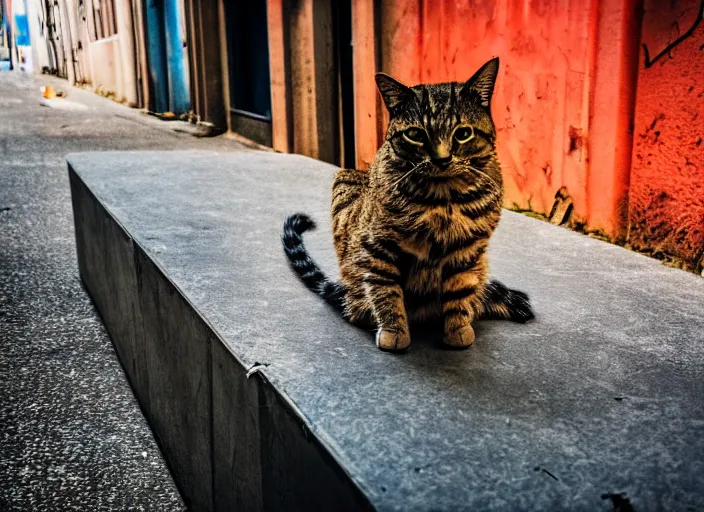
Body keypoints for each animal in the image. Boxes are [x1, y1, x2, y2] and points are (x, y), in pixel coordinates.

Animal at [284, 57, 532, 352]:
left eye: (463, 133)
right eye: (415, 134)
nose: (441, 159)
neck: (443, 199)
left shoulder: (468, 251)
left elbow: (460, 292)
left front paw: (457, 330)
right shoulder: (377, 246)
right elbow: (386, 292)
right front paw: (394, 332)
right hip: (345, 184)